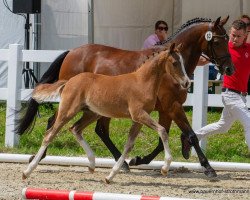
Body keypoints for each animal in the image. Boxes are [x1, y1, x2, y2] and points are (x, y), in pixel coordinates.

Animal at [22, 43, 189, 183]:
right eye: (175, 63)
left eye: (183, 62)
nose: (187, 82)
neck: (142, 81)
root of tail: (69, 81)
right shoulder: (139, 115)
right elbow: (162, 131)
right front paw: (165, 168)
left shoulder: (138, 120)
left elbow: (128, 145)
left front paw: (111, 176)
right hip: (68, 111)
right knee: (50, 134)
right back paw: (27, 171)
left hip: (91, 113)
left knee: (75, 129)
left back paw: (91, 164)